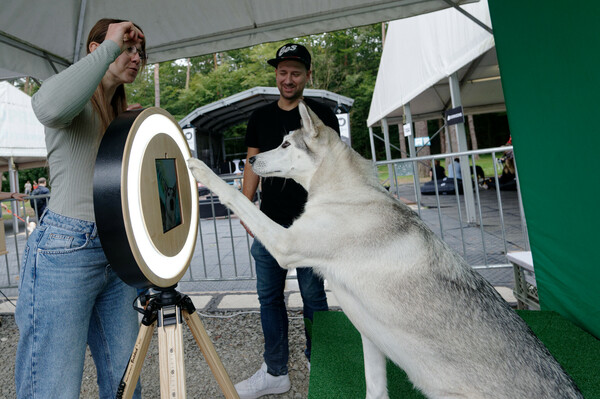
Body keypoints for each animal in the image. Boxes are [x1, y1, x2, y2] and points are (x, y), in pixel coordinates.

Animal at [188, 102, 580, 399]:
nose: (249, 162)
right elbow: (374, 389)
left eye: (285, 144)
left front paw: (200, 169)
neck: (347, 195)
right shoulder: (370, 337)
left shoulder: (285, 245)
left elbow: (234, 194)